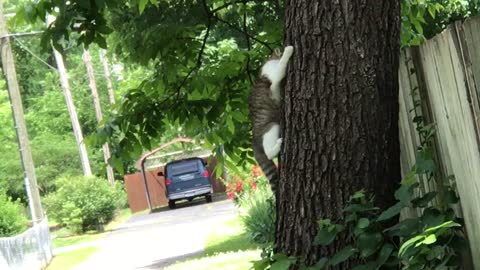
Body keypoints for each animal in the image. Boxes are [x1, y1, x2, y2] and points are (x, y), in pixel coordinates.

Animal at [249, 46, 294, 194]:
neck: (271, 58)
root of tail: (254, 143)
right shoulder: (273, 70)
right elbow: (281, 67)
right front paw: (288, 51)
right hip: (271, 125)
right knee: (269, 153)